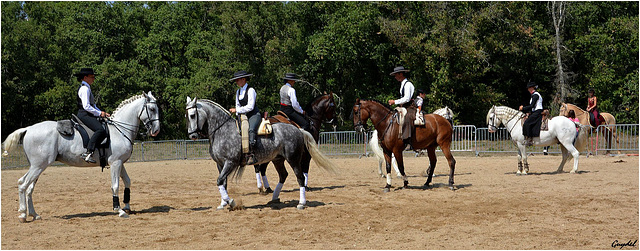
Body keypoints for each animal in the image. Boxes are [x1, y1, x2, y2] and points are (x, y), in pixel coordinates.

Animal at [2, 92, 161, 222]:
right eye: (152, 109)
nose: (156, 130)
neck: (119, 130)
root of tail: (28, 129)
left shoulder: (120, 163)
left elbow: (127, 181)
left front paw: (127, 206)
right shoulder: (115, 163)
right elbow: (115, 186)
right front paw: (119, 210)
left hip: (38, 167)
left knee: (29, 188)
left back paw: (34, 214)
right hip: (38, 166)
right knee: (23, 184)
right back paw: (23, 214)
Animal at [185, 96, 338, 210]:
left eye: (192, 115)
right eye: (187, 116)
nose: (192, 135)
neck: (222, 130)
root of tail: (298, 129)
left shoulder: (230, 162)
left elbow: (220, 181)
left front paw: (231, 202)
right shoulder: (220, 164)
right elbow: (223, 182)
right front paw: (223, 203)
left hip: (294, 159)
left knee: (299, 177)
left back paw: (301, 203)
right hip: (278, 160)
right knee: (283, 175)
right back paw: (274, 198)